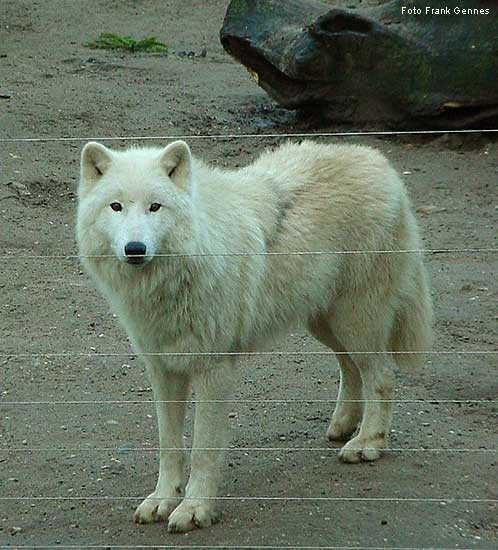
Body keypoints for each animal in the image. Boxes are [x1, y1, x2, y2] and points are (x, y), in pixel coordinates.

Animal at [77, 139, 432, 536]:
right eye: (116, 206)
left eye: (155, 206)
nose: (135, 248)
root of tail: (381, 163)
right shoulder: (164, 370)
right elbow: (169, 446)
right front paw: (162, 500)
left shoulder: (213, 371)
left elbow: (202, 450)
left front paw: (195, 509)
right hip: (325, 323)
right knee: (351, 369)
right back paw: (343, 425)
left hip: (356, 322)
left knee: (381, 376)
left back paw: (368, 442)